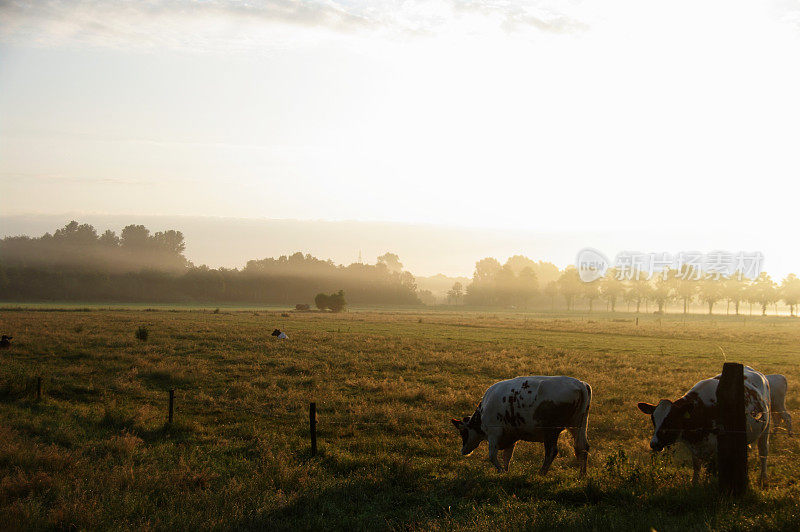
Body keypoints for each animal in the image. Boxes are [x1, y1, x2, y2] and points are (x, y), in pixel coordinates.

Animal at [450, 376, 592, 476]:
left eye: (463, 432)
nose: (463, 451)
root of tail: (580, 384)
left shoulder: (493, 434)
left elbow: (492, 456)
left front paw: (501, 470)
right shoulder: (511, 435)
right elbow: (507, 456)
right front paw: (505, 472)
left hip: (551, 431)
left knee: (552, 451)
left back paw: (541, 473)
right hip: (578, 425)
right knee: (582, 448)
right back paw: (582, 475)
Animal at [636, 366, 772, 486]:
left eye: (671, 421)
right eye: (653, 419)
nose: (654, 443)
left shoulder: (718, 447)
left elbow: (712, 470)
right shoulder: (695, 446)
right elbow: (697, 466)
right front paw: (695, 484)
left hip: (766, 428)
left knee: (763, 452)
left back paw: (763, 478)